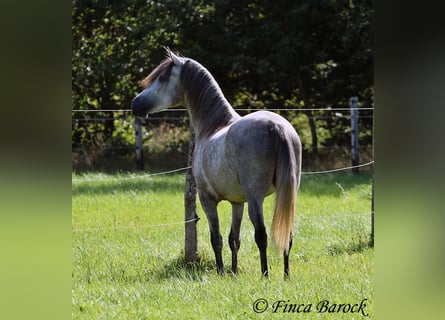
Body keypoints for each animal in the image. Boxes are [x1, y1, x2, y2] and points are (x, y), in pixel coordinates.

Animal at [130, 48, 300, 278]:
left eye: (162, 78)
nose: (135, 104)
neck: (213, 126)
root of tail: (277, 127)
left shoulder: (207, 199)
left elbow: (216, 238)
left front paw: (220, 271)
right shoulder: (237, 202)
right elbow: (234, 239)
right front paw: (234, 272)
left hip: (255, 198)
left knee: (262, 236)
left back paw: (265, 275)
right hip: (287, 193)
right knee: (287, 237)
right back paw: (286, 276)